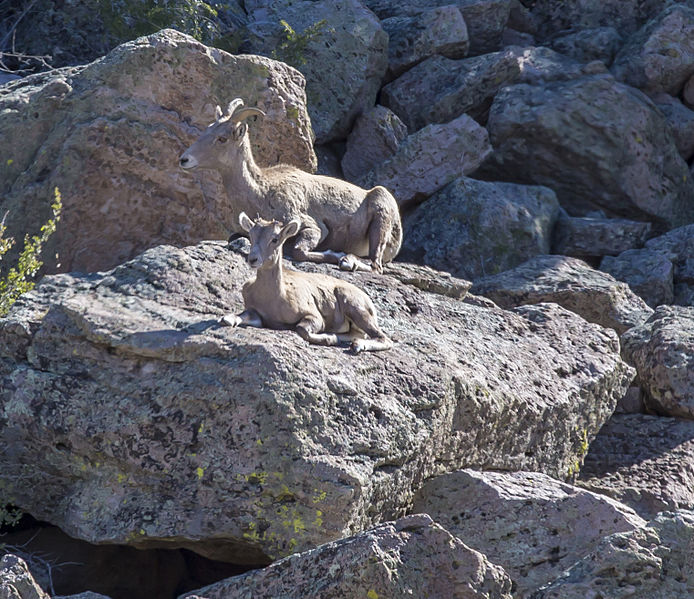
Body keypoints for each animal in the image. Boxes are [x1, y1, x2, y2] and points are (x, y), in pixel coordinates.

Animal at [181, 99, 402, 274]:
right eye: (206, 130)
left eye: (222, 138)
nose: (184, 160)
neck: (261, 193)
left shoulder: (313, 228)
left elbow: (299, 252)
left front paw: (336, 254)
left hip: (380, 221)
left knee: (376, 265)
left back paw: (348, 261)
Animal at [224, 211, 396, 354]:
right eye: (251, 235)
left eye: (275, 239)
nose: (253, 259)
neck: (275, 297)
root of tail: (368, 302)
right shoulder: (257, 314)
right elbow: (234, 318)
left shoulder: (313, 316)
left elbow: (301, 329)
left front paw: (329, 339)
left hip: (355, 307)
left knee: (383, 338)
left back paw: (357, 345)